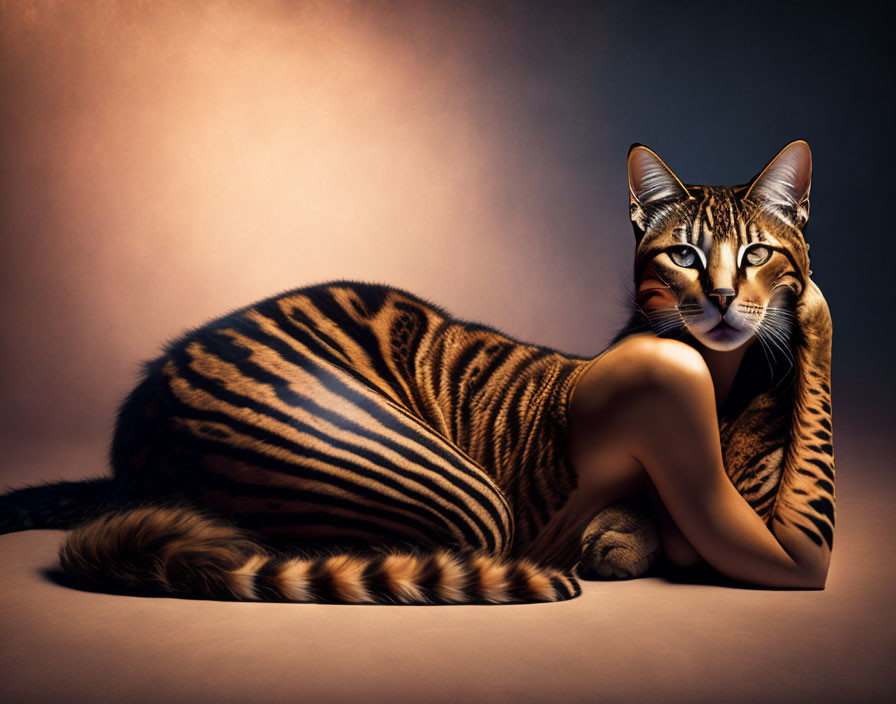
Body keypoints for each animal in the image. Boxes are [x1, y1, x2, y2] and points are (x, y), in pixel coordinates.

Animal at [3, 140, 836, 604]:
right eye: (684, 254)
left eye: (757, 254)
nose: (722, 298)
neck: (723, 385)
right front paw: (621, 539)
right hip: (458, 494)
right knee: (287, 549)